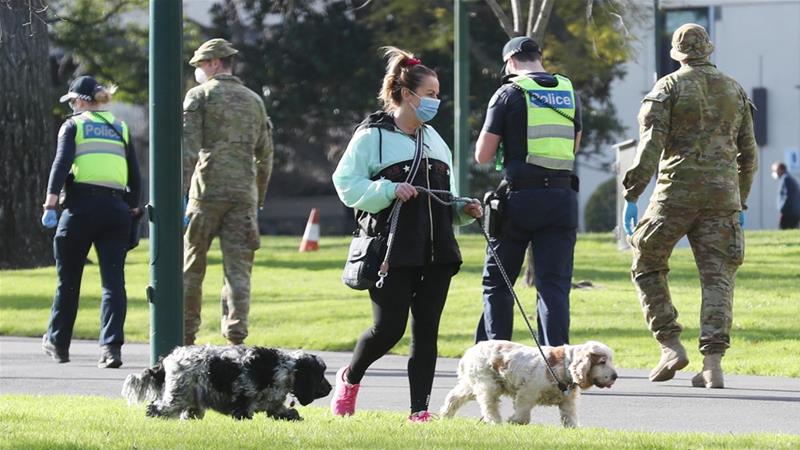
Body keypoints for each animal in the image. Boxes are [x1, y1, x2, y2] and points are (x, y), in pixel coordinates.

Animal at [121, 344, 332, 422]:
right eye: (321, 375)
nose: (330, 388)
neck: (283, 369)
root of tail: (169, 358)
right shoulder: (243, 402)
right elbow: (243, 414)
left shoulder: (275, 406)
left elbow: (288, 413)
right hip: (176, 396)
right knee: (156, 408)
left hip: (190, 398)